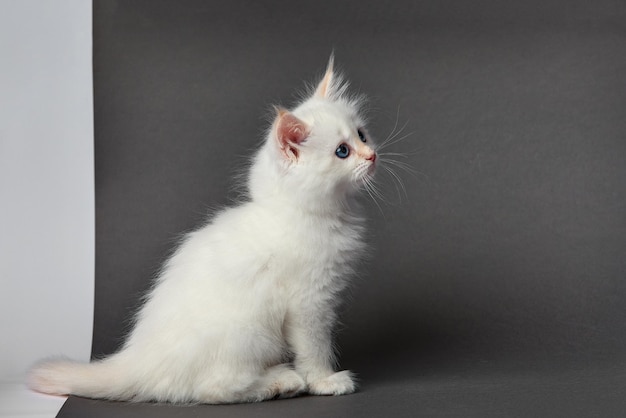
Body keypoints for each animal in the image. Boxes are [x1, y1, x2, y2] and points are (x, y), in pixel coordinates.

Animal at [29, 56, 376, 404]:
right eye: (342, 151)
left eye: (362, 135)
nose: (372, 156)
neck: (306, 214)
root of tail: (137, 361)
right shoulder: (309, 304)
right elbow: (315, 349)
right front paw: (326, 381)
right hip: (249, 334)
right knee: (215, 389)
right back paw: (281, 381)